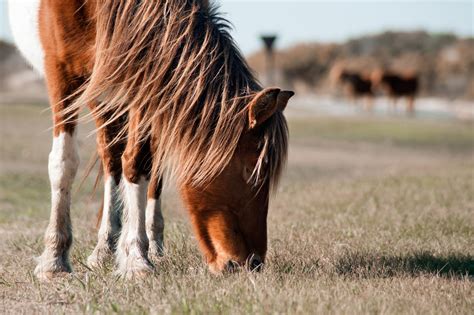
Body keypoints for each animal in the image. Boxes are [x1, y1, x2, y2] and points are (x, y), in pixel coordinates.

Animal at [8, 0, 292, 282]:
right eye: (251, 170)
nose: (252, 263)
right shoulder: (62, 72)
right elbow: (64, 163)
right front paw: (54, 261)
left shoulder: (146, 80)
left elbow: (138, 164)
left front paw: (136, 258)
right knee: (110, 159)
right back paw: (104, 250)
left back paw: (148, 246)